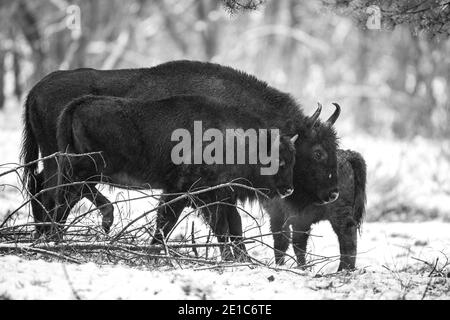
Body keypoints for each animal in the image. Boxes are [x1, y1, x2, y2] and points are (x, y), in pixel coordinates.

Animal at [20, 59, 338, 258]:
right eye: (317, 152)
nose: (333, 193)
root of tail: (35, 89)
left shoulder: (219, 192)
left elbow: (231, 225)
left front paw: (241, 258)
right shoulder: (197, 190)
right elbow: (218, 224)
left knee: (49, 190)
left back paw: (45, 236)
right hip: (63, 159)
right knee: (54, 191)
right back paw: (56, 235)